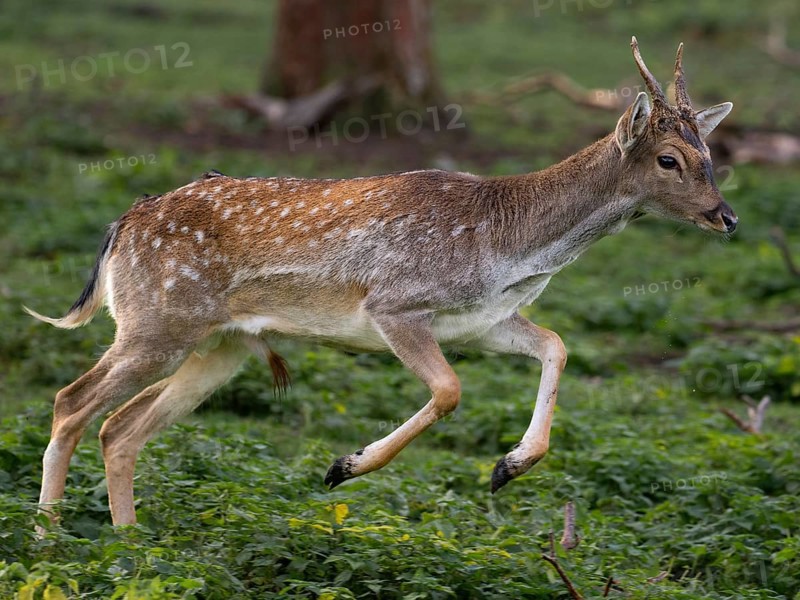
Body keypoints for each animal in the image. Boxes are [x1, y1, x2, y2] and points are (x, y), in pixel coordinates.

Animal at [26, 37, 735, 530]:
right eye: (669, 160)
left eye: (710, 155)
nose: (726, 215)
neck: (510, 249)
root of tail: (122, 224)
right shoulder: (394, 305)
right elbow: (449, 390)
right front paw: (343, 467)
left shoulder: (483, 321)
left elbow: (557, 343)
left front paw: (506, 468)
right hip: (156, 320)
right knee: (72, 403)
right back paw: (51, 536)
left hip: (217, 346)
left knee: (121, 427)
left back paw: (129, 541)